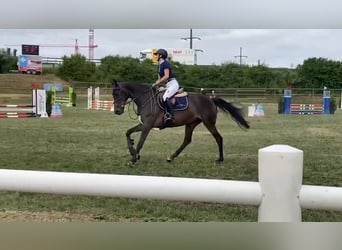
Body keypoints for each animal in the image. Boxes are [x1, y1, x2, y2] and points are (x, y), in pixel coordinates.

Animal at [112, 80, 248, 166]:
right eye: (113, 95)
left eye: (118, 94)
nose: (117, 111)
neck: (145, 99)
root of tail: (210, 99)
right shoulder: (144, 124)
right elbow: (128, 132)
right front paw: (132, 151)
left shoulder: (147, 126)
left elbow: (140, 142)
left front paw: (133, 159)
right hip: (191, 123)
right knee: (187, 140)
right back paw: (171, 157)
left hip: (208, 123)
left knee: (218, 138)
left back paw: (219, 160)